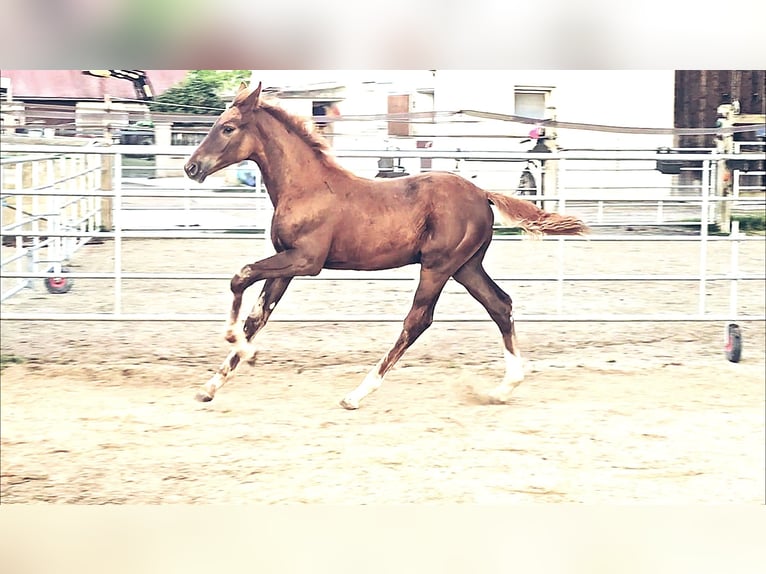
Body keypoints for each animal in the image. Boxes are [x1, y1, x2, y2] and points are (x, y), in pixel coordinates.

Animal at [184, 81, 587, 409]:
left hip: (438, 266)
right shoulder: (286, 264)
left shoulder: (305, 261)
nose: (191, 167)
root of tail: (481, 193)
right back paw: (503, 388)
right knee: (500, 305)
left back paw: (357, 394)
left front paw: (239, 344)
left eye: (228, 127)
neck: (306, 186)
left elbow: (240, 276)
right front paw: (211, 385)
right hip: (466, 267)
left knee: (418, 320)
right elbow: (257, 316)